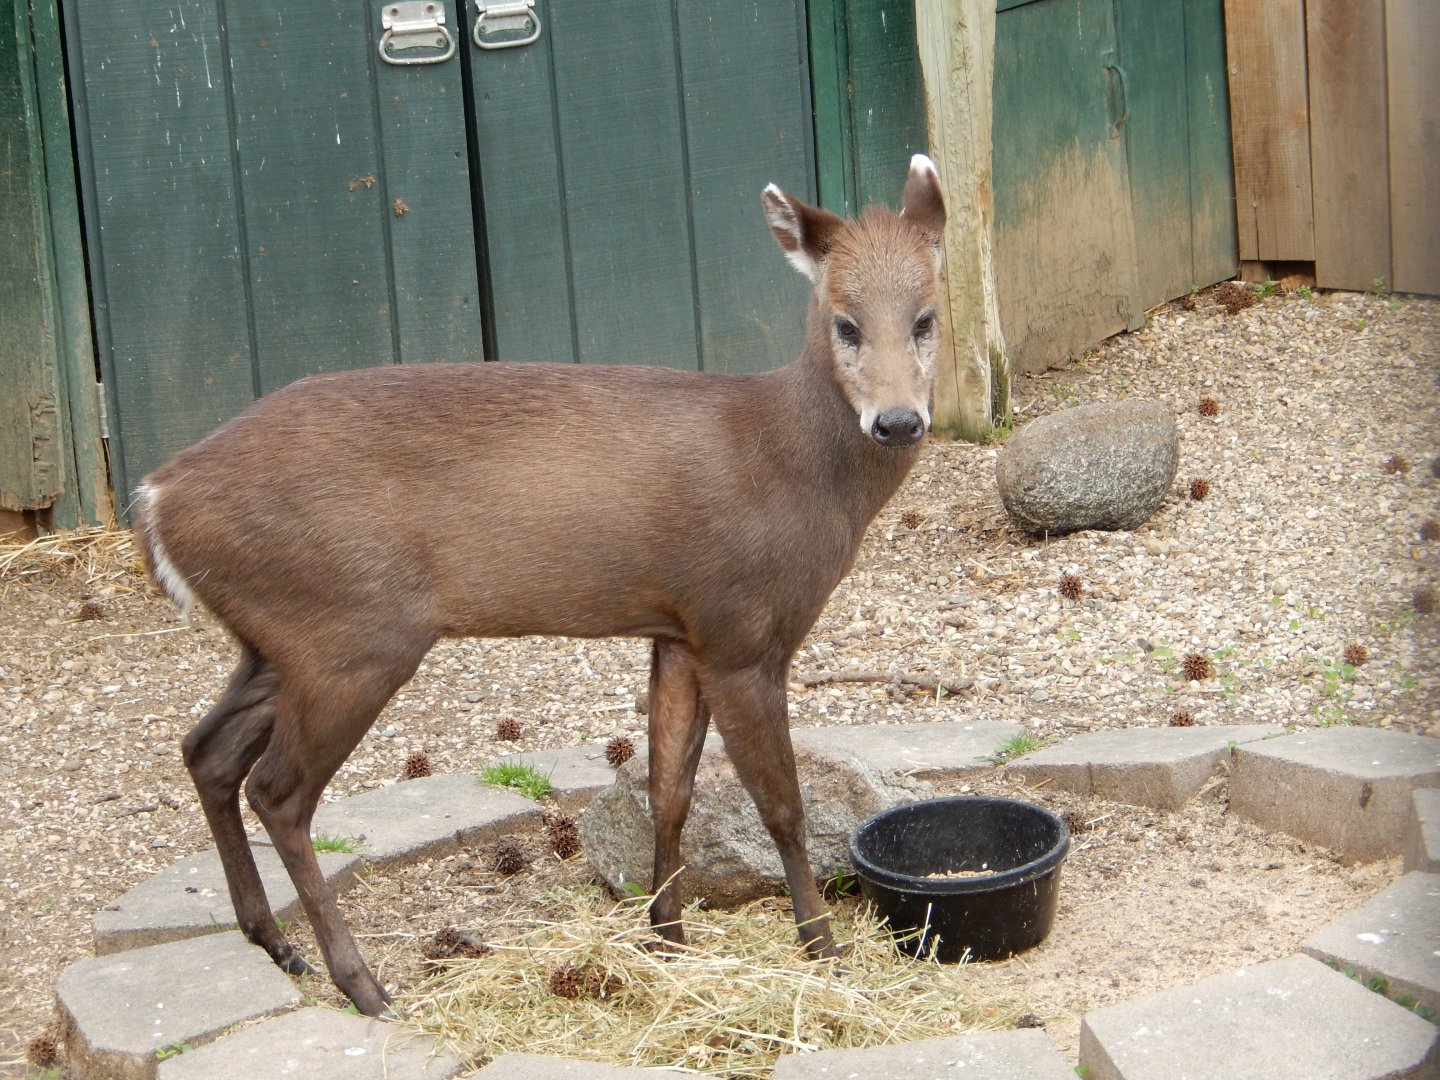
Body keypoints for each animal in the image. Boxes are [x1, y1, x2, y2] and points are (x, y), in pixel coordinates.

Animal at [133, 155, 947, 1017]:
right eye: (845, 322)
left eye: (926, 316)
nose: (898, 420)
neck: (790, 464)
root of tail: (157, 497)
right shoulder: (742, 629)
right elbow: (783, 807)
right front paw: (822, 949)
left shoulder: (679, 628)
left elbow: (670, 789)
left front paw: (666, 938)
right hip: (350, 635)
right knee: (279, 790)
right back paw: (362, 984)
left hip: (279, 639)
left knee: (207, 750)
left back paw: (275, 943)